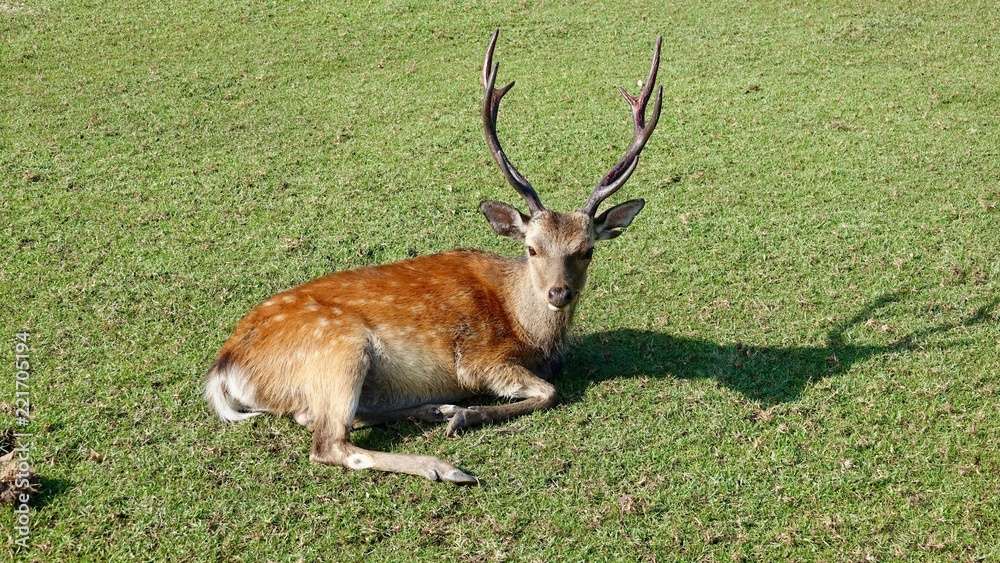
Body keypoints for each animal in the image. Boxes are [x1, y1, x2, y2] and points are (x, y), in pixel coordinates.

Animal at [203, 28, 660, 484]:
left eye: (587, 250)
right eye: (532, 248)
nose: (558, 294)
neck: (531, 332)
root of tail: (225, 367)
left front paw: (456, 413)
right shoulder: (479, 359)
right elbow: (550, 392)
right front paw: (468, 416)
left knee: (322, 418)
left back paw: (436, 409)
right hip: (338, 348)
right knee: (328, 442)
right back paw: (444, 464)